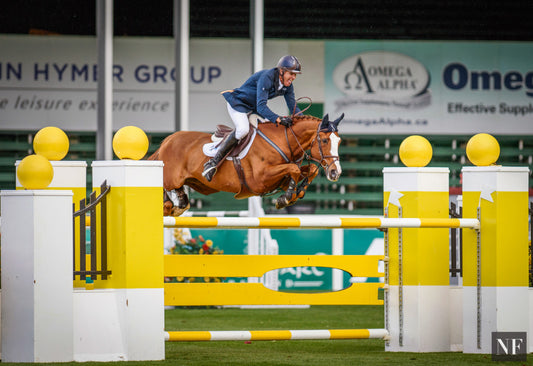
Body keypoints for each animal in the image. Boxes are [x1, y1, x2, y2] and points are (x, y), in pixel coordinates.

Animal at [148, 113, 342, 216]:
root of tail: (166, 142)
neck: (284, 141)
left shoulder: (280, 178)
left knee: (179, 205)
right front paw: (285, 198)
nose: (335, 173)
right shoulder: (259, 180)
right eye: (325, 140)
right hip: (169, 179)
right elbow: (294, 169)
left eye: (339, 141)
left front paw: (297, 193)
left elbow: (310, 170)